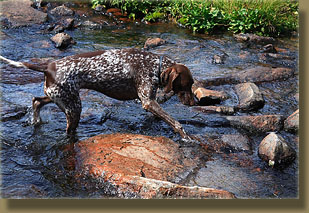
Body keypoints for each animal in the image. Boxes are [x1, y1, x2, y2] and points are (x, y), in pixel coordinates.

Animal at [0, 48, 194, 138]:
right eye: (187, 84)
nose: (194, 103)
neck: (155, 65)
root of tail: (48, 68)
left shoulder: (151, 101)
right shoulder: (148, 102)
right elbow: (175, 123)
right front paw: (186, 137)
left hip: (57, 95)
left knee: (36, 101)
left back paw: (36, 120)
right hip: (73, 107)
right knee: (68, 131)